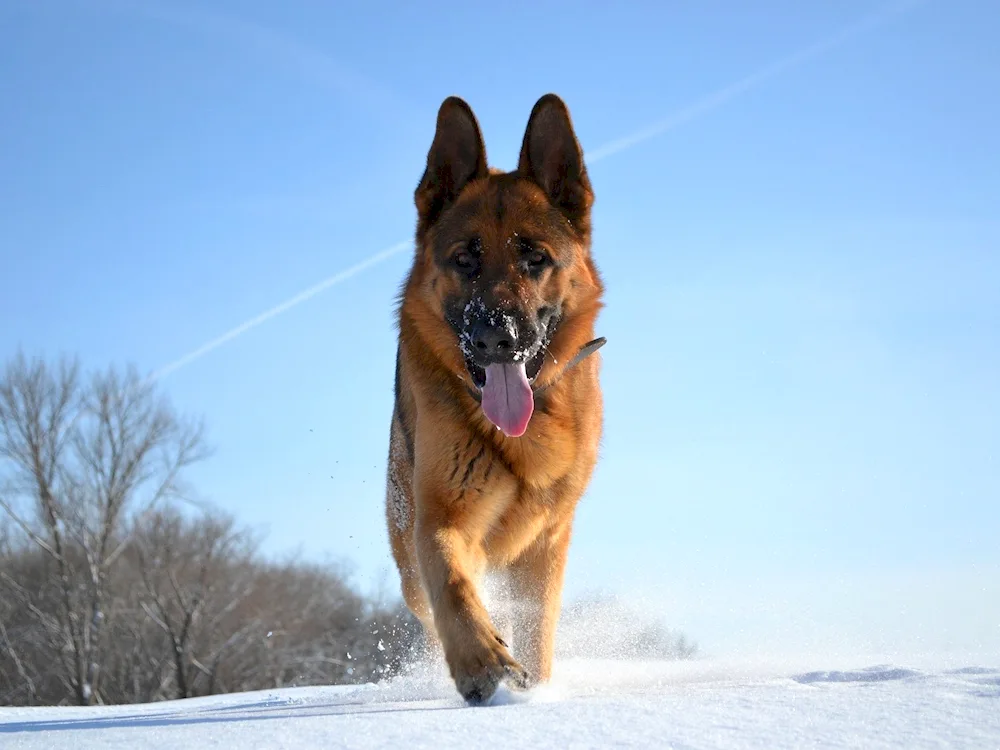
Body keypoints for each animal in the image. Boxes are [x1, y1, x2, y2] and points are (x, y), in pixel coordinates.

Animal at [382, 94, 600, 704]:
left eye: (535, 259)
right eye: (465, 260)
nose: (495, 338)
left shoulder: (547, 543)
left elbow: (538, 630)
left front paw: (533, 686)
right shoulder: (441, 520)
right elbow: (454, 586)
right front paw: (483, 664)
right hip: (407, 558)